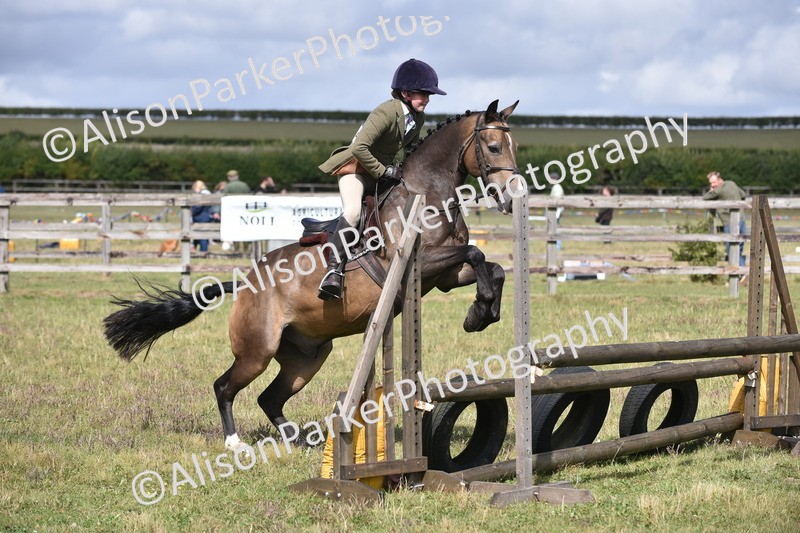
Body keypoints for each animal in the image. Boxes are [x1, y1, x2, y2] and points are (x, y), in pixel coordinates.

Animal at [103, 99, 522, 451]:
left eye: (514, 146)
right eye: (494, 147)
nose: (511, 195)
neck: (426, 192)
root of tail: (244, 284)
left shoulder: (445, 275)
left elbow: (491, 267)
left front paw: (481, 313)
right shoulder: (416, 264)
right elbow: (477, 252)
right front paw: (481, 311)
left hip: (306, 357)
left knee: (269, 398)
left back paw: (300, 441)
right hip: (257, 350)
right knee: (225, 387)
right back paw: (235, 443)